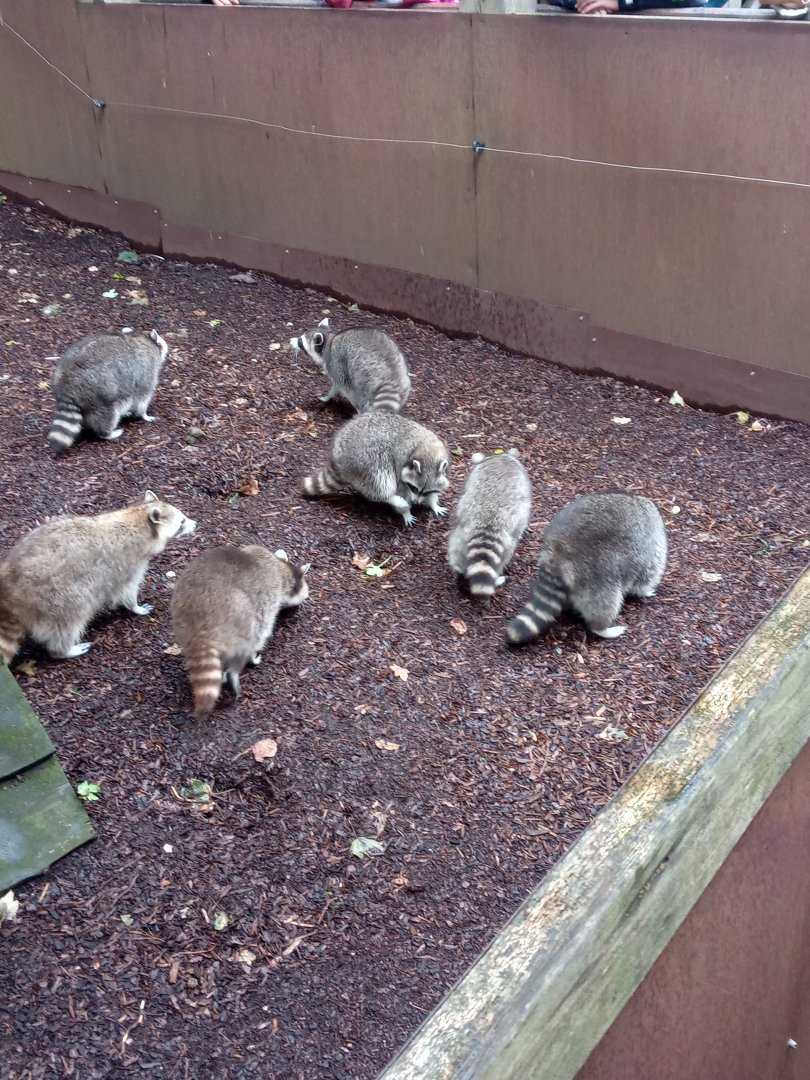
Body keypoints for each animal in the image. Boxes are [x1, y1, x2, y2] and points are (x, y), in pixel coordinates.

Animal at [0, 491, 195, 664]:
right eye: (182, 522)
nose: (195, 523)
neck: (138, 518)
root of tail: (11, 591)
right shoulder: (128, 563)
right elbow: (127, 589)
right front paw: (135, 607)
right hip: (55, 598)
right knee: (69, 621)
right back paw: (64, 650)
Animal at [170, 546, 310, 721]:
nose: (304, 600)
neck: (281, 568)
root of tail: (201, 616)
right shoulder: (268, 598)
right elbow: (262, 632)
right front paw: (254, 655)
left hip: (180, 612)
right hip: (240, 616)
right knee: (245, 641)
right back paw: (234, 672)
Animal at [302, 411, 450, 526]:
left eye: (425, 491)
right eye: (413, 488)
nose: (415, 502)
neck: (426, 450)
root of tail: (337, 455)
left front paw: (433, 503)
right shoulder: (401, 467)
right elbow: (400, 488)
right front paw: (405, 511)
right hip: (364, 457)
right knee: (381, 475)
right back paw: (391, 498)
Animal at [447, 449, 532, 599]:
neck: (502, 457)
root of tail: (488, 519)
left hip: (461, 530)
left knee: (456, 548)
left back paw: (459, 570)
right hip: (509, 537)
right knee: (507, 552)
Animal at [506, 492, 666, 644]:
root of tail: (559, 551)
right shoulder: (651, 545)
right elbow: (647, 573)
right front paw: (644, 591)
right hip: (597, 577)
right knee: (605, 602)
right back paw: (601, 628)